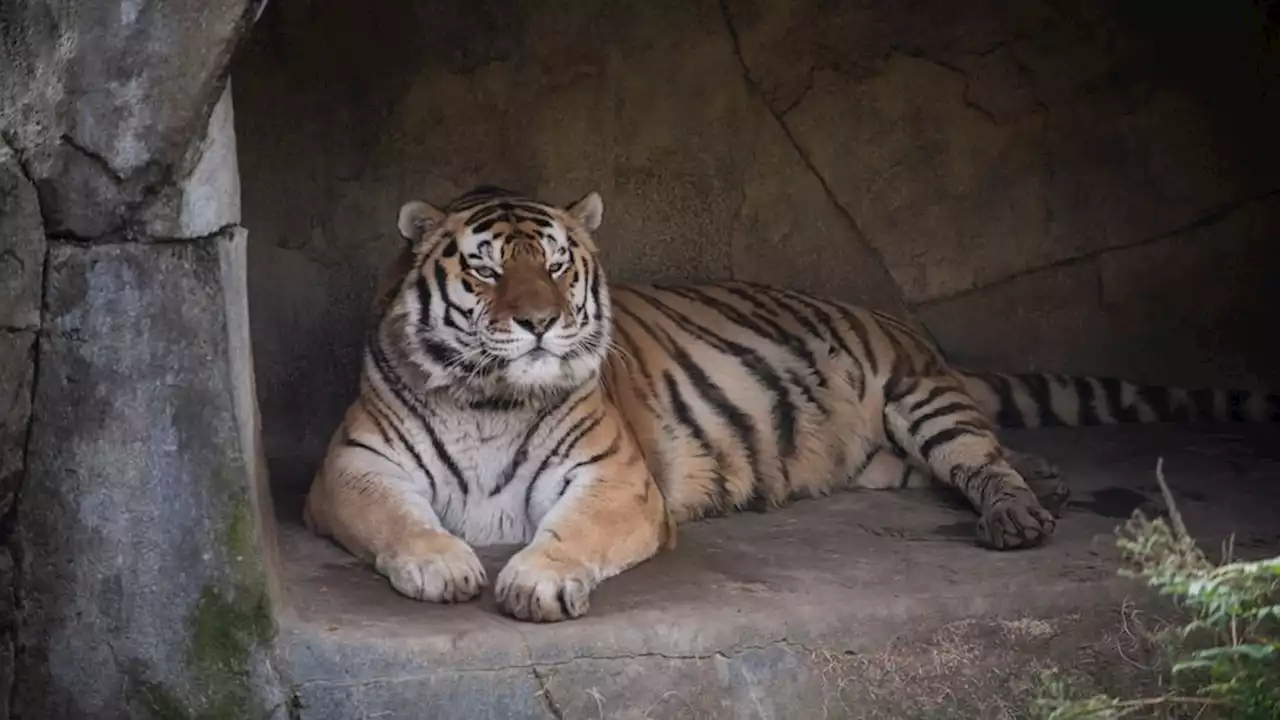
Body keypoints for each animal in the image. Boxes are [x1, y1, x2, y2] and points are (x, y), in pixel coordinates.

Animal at [302, 184, 1280, 622]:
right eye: (484, 269)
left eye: (555, 264)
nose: (540, 323)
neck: (492, 397)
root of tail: (900, 322)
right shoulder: (352, 468)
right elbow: (399, 521)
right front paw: (443, 565)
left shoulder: (615, 479)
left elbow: (570, 534)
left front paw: (535, 579)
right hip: (888, 457)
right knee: (975, 462)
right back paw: (1050, 485)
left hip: (920, 399)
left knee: (982, 460)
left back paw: (1021, 515)